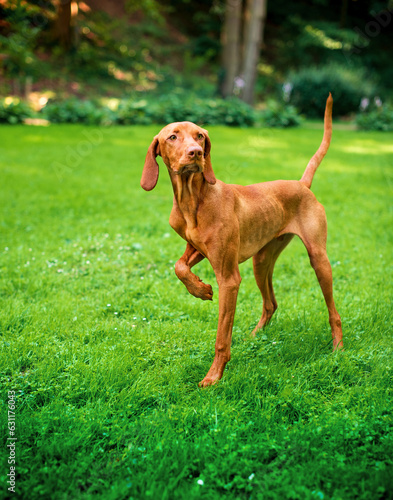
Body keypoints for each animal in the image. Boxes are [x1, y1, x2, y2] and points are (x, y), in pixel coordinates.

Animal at [142, 94, 344, 386]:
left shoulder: (229, 279)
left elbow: (221, 337)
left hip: (319, 260)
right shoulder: (197, 248)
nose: (196, 153)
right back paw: (255, 336)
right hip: (262, 261)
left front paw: (214, 376)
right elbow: (179, 267)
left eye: (200, 136)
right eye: (172, 137)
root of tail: (301, 184)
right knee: (271, 303)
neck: (193, 199)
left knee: (333, 312)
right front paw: (200, 289)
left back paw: (338, 348)